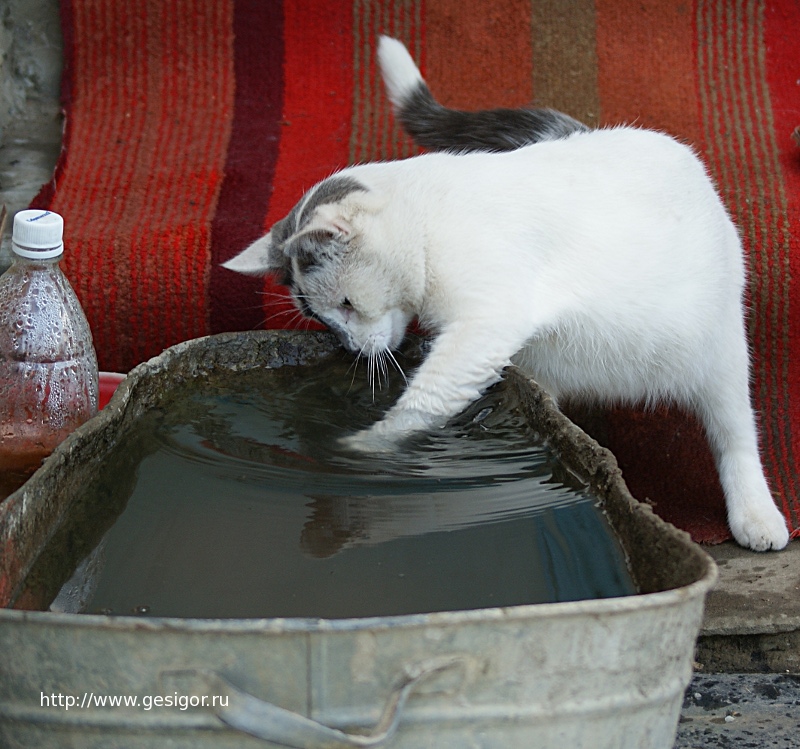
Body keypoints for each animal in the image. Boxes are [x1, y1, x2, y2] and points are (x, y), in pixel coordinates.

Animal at [223, 36, 788, 548]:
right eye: (323, 319)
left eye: (345, 304)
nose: (348, 347)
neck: (427, 222)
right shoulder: (494, 346)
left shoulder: (486, 323)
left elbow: (423, 400)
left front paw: (362, 448)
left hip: (720, 355)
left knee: (736, 434)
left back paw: (756, 516)